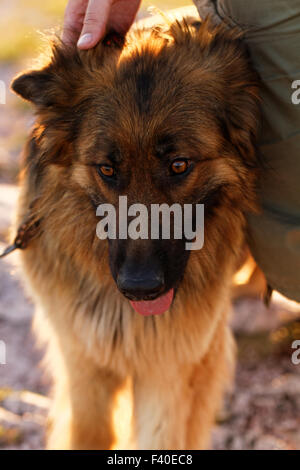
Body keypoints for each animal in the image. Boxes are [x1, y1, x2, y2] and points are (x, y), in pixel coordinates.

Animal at [9, 12, 260, 450]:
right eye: (107, 169)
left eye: (179, 165)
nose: (140, 288)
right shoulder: (82, 359)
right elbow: (89, 431)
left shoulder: (172, 366)